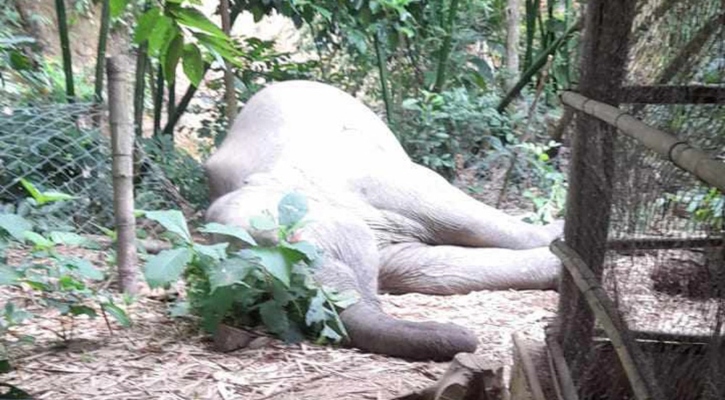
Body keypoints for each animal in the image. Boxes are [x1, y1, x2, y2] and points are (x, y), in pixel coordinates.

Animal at [204, 79, 560, 360]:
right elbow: (429, 271)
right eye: (257, 296)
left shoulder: (373, 176)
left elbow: (462, 220)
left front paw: (558, 237)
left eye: (292, 242)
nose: (467, 339)